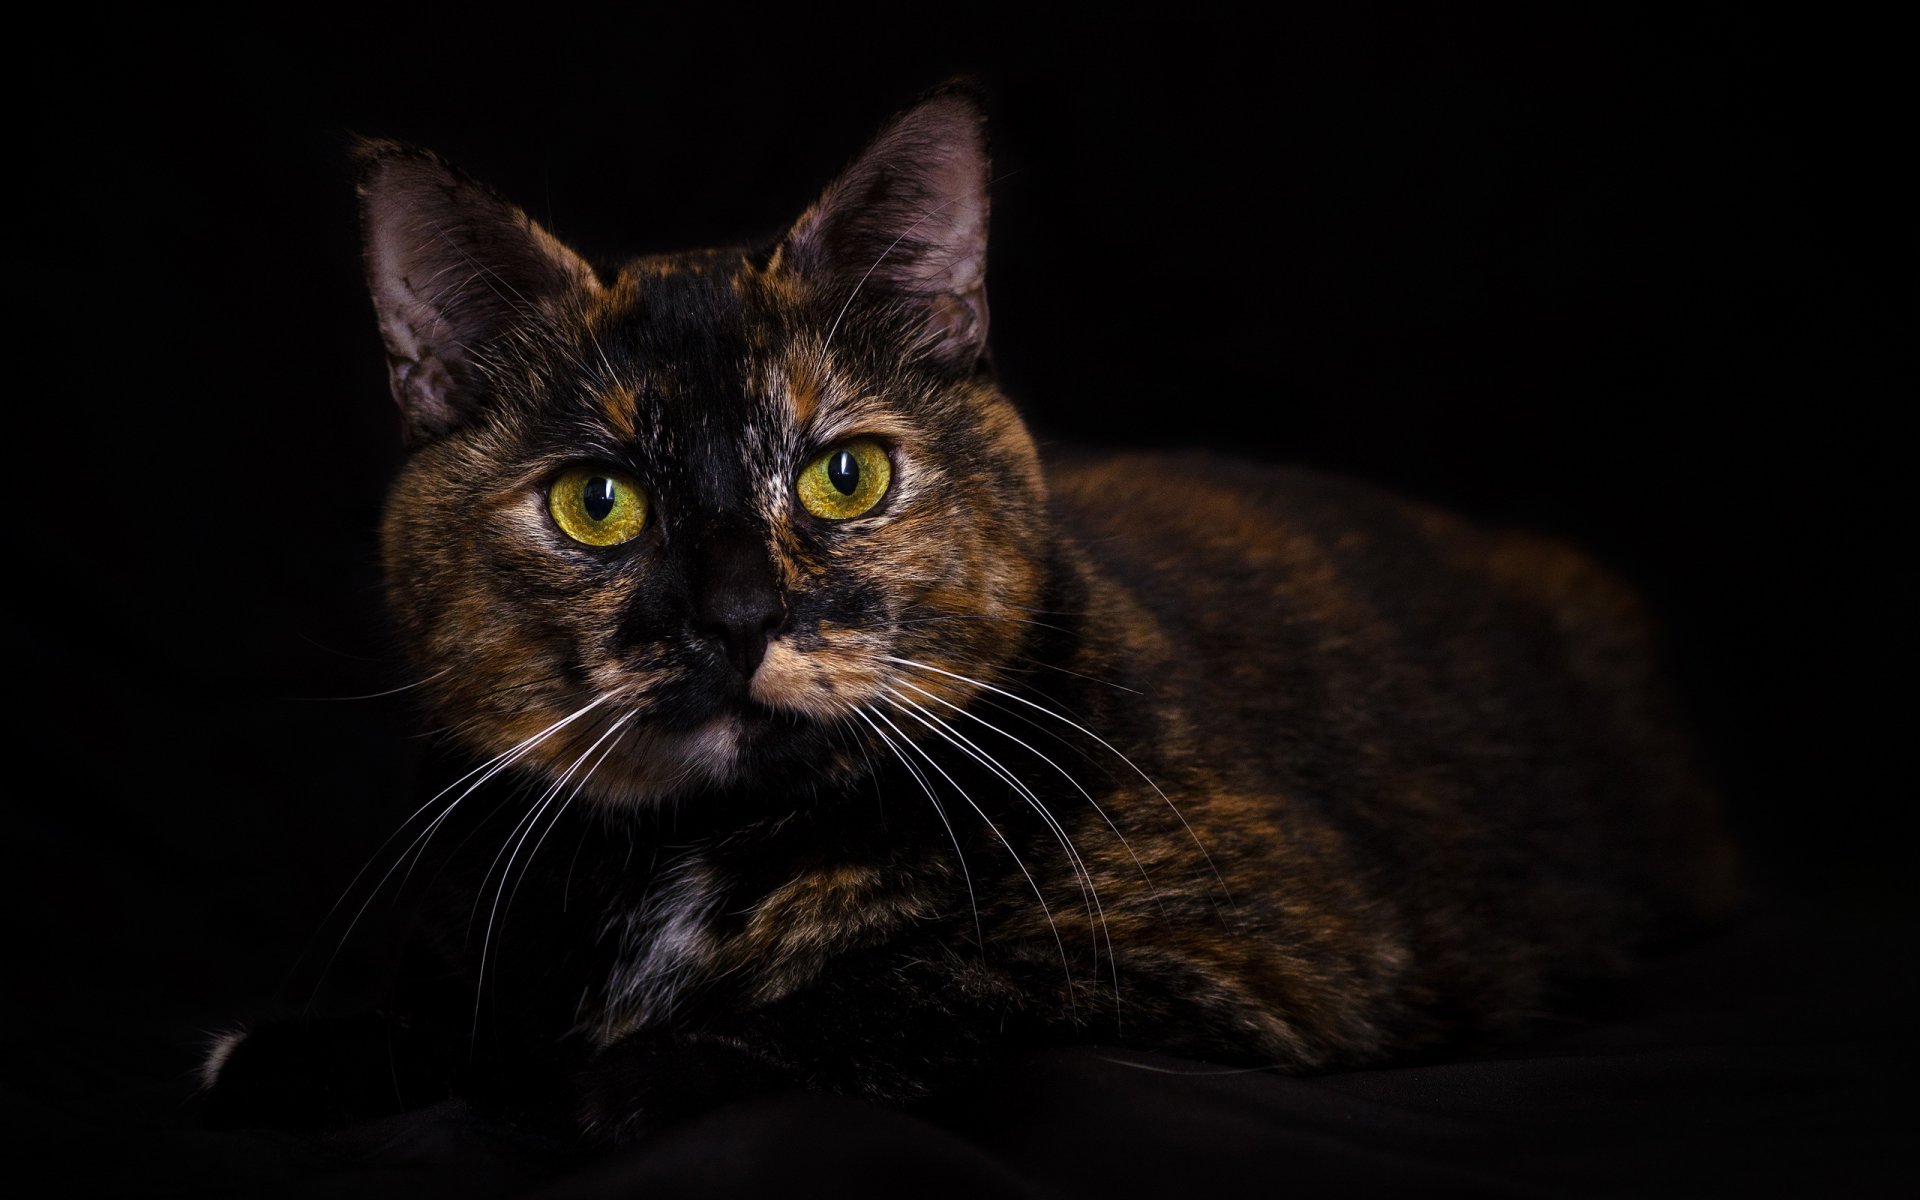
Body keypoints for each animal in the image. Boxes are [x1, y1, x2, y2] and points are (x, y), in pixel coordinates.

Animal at [206, 86, 1743, 1144]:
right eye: (600, 503)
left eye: (847, 474)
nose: (739, 614)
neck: (702, 856)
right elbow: (466, 1012)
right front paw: (307, 1048)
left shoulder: (1264, 951)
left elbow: (919, 980)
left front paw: (620, 1075)